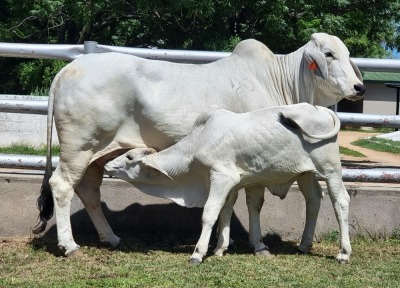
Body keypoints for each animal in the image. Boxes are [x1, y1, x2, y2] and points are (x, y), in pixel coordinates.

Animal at [104, 103, 350, 264]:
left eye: (129, 157)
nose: (107, 165)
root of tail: (323, 109)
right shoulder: (231, 184)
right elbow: (226, 210)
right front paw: (220, 248)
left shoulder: (222, 177)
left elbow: (210, 212)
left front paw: (198, 253)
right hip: (306, 173)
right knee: (313, 200)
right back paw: (304, 245)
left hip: (330, 169)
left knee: (340, 201)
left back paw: (343, 253)